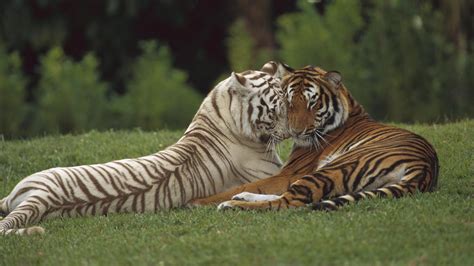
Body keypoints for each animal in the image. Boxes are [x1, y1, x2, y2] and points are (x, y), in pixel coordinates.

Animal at [190, 64, 440, 210]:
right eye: (289, 102)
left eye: (313, 103)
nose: (295, 132)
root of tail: (425, 168)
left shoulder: (291, 173)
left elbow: (250, 184)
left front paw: (198, 201)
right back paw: (241, 199)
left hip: (335, 167)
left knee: (289, 202)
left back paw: (231, 205)